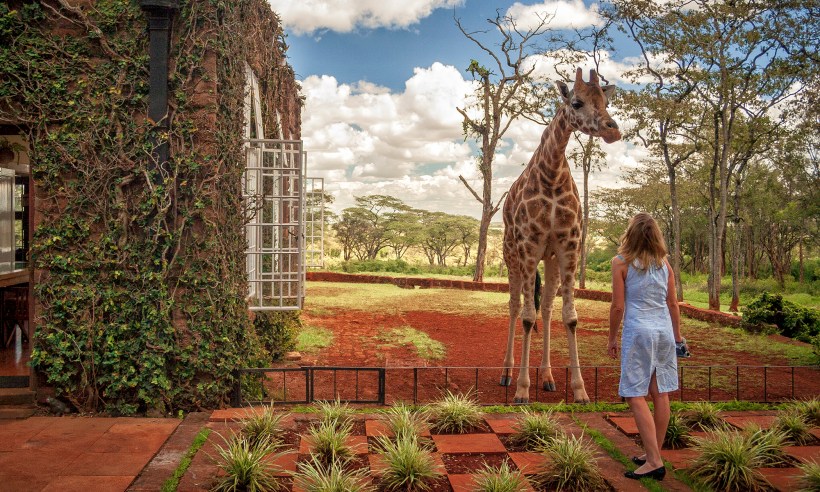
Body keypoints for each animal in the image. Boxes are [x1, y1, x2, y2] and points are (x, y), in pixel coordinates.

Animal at [500, 68, 621, 404]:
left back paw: (548, 377)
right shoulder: (529, 245)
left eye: (606, 101)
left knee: (547, 307)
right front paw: (522, 390)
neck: (552, 174)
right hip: (511, 256)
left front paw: (579, 390)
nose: (613, 130)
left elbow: (570, 316)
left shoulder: (569, 247)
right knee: (515, 307)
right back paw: (507, 373)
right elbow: (527, 316)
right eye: (577, 102)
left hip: (550, 259)